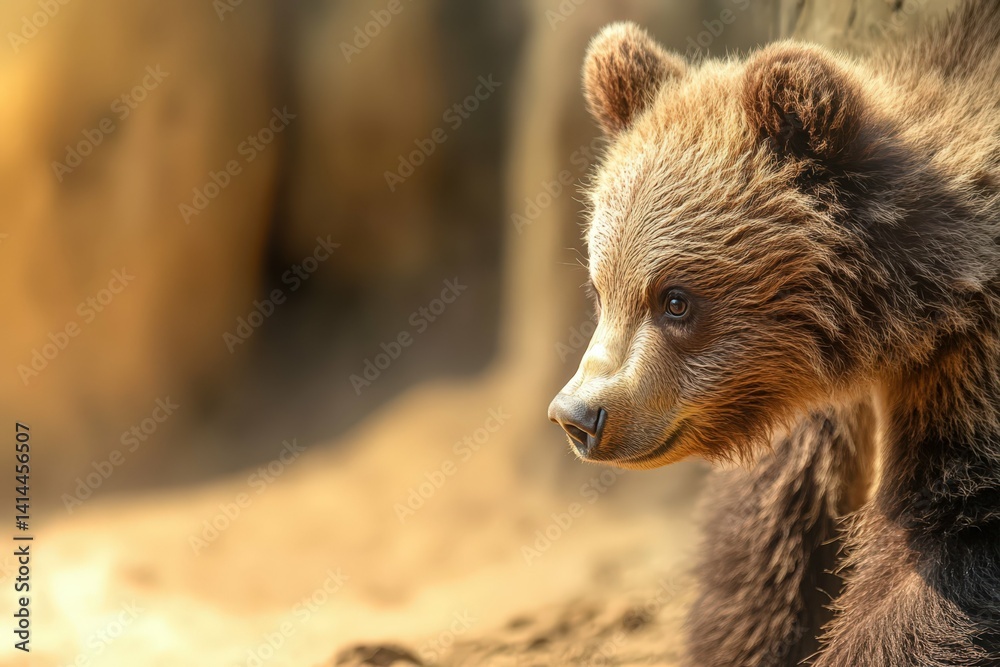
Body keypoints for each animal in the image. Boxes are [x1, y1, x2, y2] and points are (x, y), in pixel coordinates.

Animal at [547, 3, 1000, 665]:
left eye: (676, 300)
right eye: (602, 289)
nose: (577, 415)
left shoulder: (968, 362)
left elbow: (951, 530)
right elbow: (772, 523)